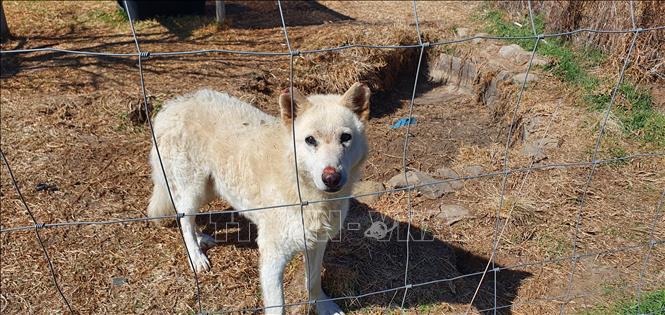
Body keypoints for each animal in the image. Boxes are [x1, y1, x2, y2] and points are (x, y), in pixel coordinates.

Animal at [147, 82, 370, 314]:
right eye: (310, 140)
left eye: (345, 138)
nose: (331, 177)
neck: (308, 196)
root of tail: (171, 106)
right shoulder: (273, 258)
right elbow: (278, 306)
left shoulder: (317, 244)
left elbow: (313, 282)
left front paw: (324, 306)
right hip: (194, 190)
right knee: (184, 220)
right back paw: (196, 257)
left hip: (209, 190)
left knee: (186, 217)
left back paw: (201, 238)